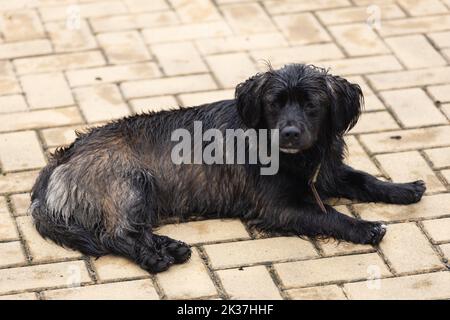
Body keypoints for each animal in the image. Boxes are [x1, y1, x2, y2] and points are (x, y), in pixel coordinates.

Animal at [30, 64, 426, 272]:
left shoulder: (327, 171)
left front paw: (404, 189)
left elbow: (365, 178)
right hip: (130, 183)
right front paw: (364, 227)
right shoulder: (280, 207)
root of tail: (58, 161)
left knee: (131, 231)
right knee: (117, 234)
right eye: (274, 103)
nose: (290, 132)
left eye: (312, 105)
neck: (299, 156)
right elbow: (328, 215)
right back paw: (155, 257)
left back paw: (171, 248)